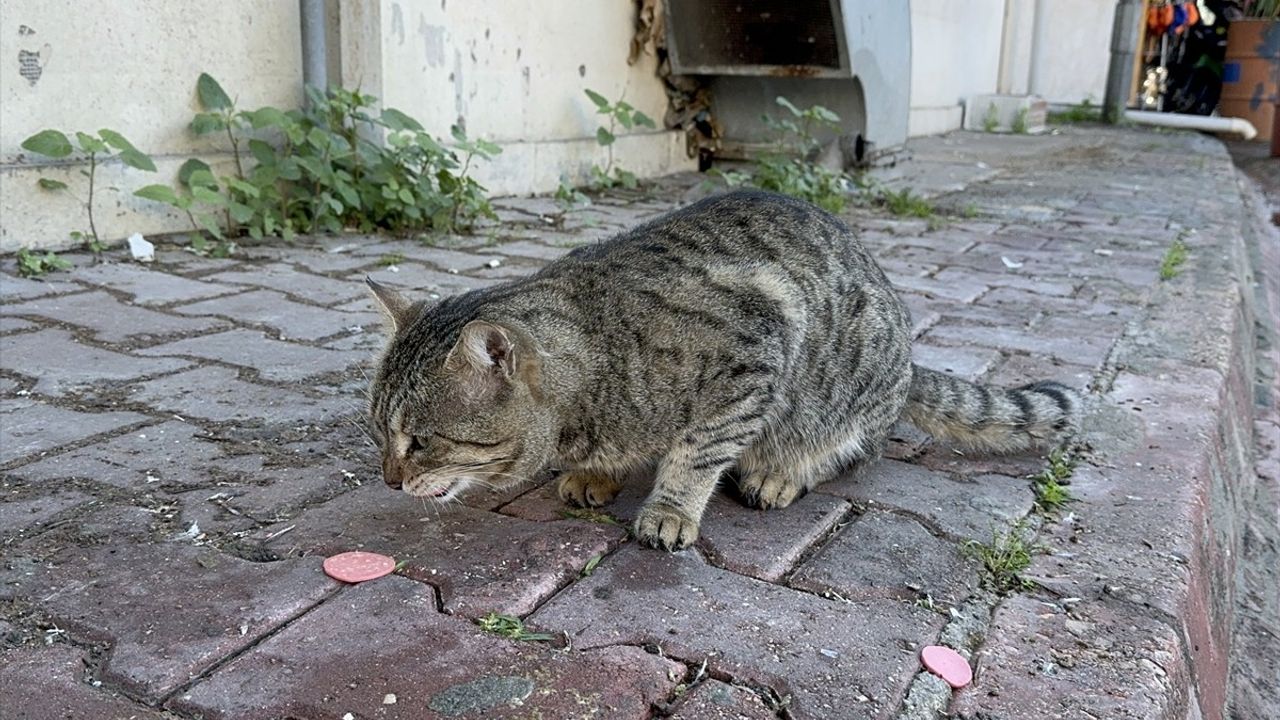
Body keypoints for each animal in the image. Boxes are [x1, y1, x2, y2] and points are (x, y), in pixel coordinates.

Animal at [366, 190, 1075, 548]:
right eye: (379, 435)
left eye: (419, 442)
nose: (390, 482)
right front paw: (597, 474)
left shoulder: (754, 355)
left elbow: (698, 451)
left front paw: (670, 509)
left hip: (849, 382)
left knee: (856, 449)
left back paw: (781, 472)